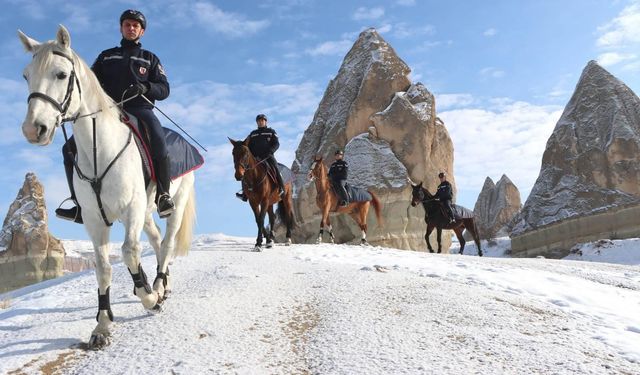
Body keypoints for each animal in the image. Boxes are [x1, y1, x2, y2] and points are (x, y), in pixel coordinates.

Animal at [18, 25, 198, 350]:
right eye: (26, 75)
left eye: (61, 74)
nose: (33, 129)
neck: (99, 149)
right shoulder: (94, 220)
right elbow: (104, 268)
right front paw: (102, 325)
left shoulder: (131, 210)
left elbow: (128, 252)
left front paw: (149, 297)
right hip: (146, 212)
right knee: (155, 241)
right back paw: (162, 284)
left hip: (174, 202)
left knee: (165, 243)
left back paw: (158, 285)